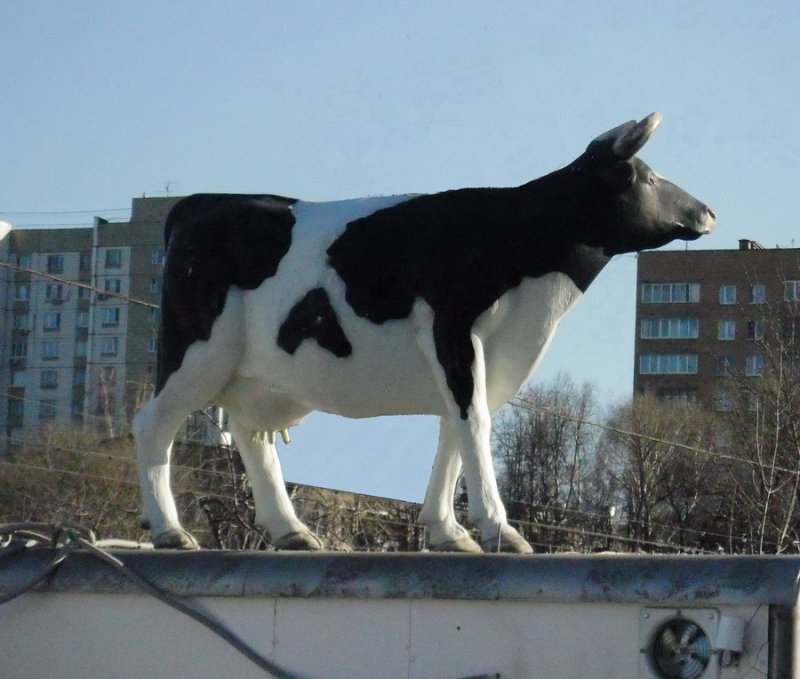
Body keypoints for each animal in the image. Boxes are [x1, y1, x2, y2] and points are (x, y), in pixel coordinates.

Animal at [134, 114, 716, 556]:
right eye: (644, 177)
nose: (707, 211)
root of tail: (199, 202)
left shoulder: (487, 355)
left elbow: (454, 429)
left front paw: (448, 532)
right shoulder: (453, 327)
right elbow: (473, 423)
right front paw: (498, 528)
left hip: (266, 377)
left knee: (252, 435)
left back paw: (291, 530)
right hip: (197, 350)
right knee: (154, 422)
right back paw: (171, 530)